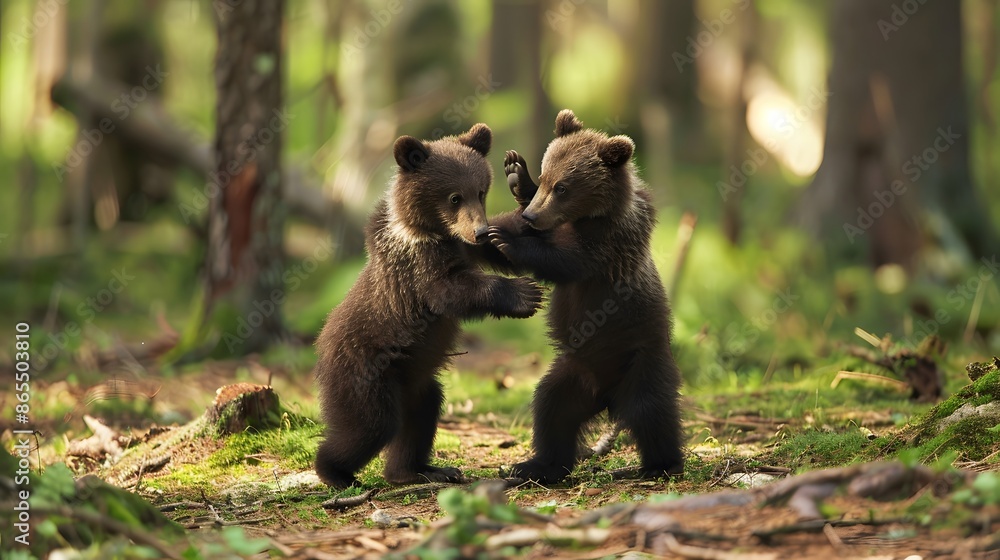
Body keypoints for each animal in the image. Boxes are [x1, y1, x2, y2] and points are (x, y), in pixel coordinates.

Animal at [314, 123, 544, 488]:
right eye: (454, 197)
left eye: (481, 191)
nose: (479, 231)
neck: (428, 230)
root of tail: (320, 349)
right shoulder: (416, 266)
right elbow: (447, 291)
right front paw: (525, 295)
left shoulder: (466, 246)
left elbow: (509, 242)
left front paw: (520, 178)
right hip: (365, 371)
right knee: (371, 425)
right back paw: (336, 473)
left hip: (416, 380)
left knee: (421, 416)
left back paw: (422, 469)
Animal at [486, 109, 685, 483]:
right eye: (546, 177)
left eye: (563, 187)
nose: (532, 216)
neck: (592, 214)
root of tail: (607, 398)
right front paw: (516, 173)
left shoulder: (609, 245)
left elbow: (568, 260)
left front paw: (505, 238)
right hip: (573, 373)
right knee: (551, 408)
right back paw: (537, 465)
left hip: (641, 358)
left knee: (651, 411)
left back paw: (659, 464)